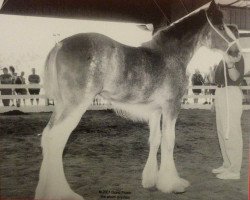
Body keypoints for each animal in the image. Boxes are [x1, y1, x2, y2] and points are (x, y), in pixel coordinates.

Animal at [34, 1, 240, 198]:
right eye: (221, 26)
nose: (236, 52)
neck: (170, 55)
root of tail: (60, 45)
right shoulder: (171, 106)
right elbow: (169, 141)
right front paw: (172, 184)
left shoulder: (156, 110)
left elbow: (155, 140)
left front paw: (151, 180)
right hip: (76, 105)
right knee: (56, 139)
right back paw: (61, 192)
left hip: (62, 105)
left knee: (47, 137)